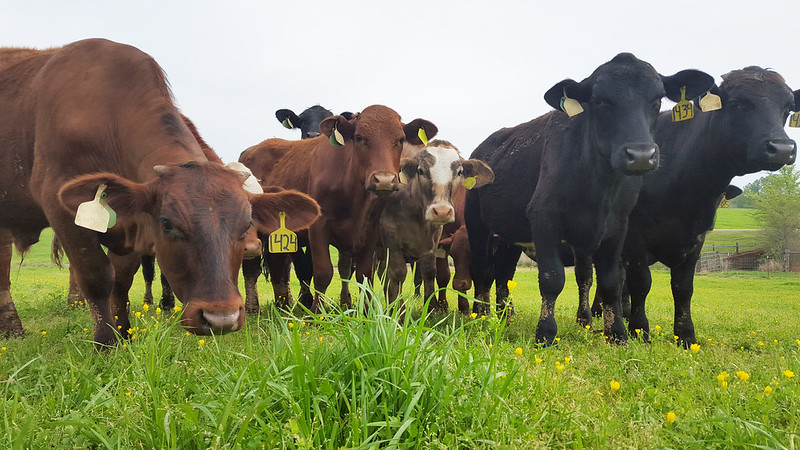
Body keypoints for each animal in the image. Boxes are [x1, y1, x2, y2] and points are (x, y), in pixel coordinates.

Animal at [0, 39, 320, 347]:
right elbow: (97, 276)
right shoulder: (62, 208)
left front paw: (125, 335)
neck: (109, 117)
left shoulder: (130, 227)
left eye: (245, 225)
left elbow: (121, 281)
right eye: (167, 224)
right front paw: (106, 344)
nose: (221, 318)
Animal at [255, 105, 437, 313]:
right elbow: (323, 272)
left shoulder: (370, 231)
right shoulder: (318, 228)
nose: (384, 180)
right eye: (359, 137)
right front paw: (317, 312)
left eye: (400, 139)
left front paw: (366, 310)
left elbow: (364, 275)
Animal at [375, 139, 493, 315]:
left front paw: (432, 309)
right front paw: (398, 310)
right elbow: (398, 274)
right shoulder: (391, 241)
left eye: (459, 172)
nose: (442, 211)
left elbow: (429, 272)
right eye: (420, 170)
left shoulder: (432, 242)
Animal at [465, 53, 714, 345]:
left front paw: (617, 334)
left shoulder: (618, 227)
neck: (599, 188)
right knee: (481, 271)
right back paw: (478, 316)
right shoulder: (544, 218)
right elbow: (552, 278)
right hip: (477, 225)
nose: (641, 155)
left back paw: (505, 318)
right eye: (599, 100)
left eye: (658, 99)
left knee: (503, 274)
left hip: (509, 235)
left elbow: (610, 282)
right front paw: (545, 333)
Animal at [586, 66, 798, 347]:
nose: (783, 148)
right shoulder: (634, 239)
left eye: (787, 109)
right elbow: (641, 283)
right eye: (739, 103)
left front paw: (685, 336)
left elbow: (683, 288)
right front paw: (640, 331)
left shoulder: (696, 239)